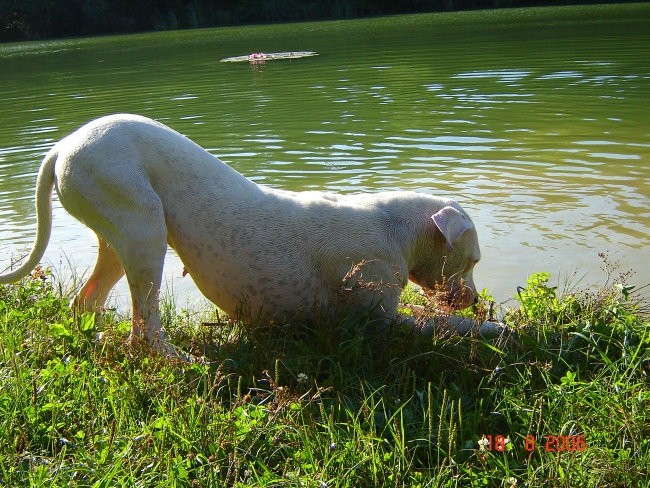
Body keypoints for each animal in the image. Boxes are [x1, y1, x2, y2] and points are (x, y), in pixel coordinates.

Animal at [1, 115, 496, 354]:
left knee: (87, 301)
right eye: (473, 261)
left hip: (118, 237)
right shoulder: (381, 321)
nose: (474, 298)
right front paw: (493, 326)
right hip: (143, 232)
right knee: (145, 327)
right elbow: (443, 323)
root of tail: (63, 146)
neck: (397, 228)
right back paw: (178, 359)